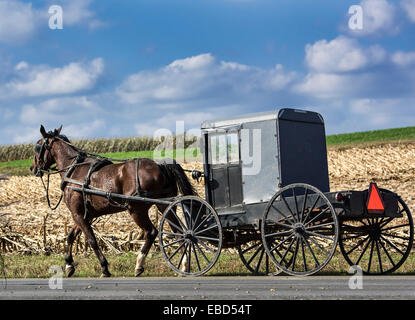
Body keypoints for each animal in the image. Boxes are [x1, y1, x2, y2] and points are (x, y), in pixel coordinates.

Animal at [30, 125, 197, 278]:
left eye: (38, 146)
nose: (33, 168)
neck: (73, 170)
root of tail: (160, 165)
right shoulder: (84, 215)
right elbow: (71, 236)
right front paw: (69, 265)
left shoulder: (77, 214)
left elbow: (91, 240)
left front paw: (104, 268)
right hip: (164, 205)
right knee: (179, 232)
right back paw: (183, 265)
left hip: (136, 209)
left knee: (151, 232)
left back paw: (139, 265)